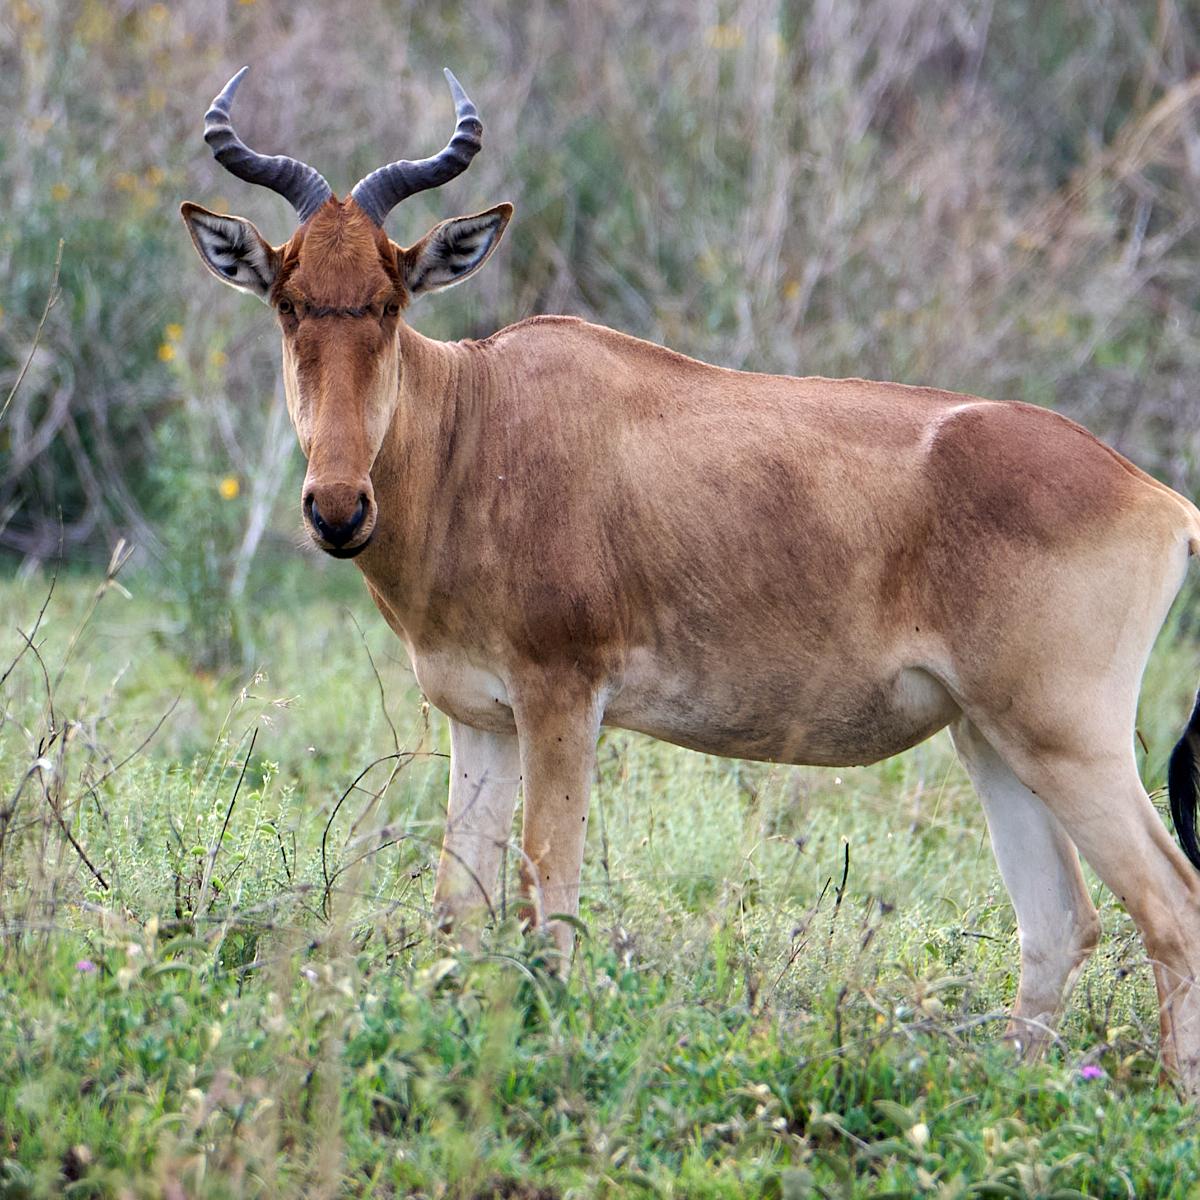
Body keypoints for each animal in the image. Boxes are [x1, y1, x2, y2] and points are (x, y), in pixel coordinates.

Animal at [182, 68, 1200, 1090]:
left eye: (391, 303)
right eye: (288, 301)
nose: (339, 508)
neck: (480, 421)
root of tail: (1158, 498)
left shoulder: (563, 697)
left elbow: (551, 895)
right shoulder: (483, 720)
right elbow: (459, 907)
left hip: (1070, 739)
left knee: (1173, 907)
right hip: (989, 737)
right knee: (1059, 923)